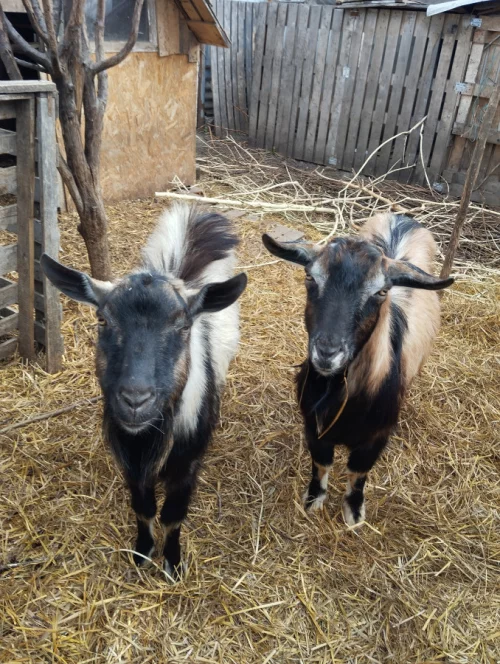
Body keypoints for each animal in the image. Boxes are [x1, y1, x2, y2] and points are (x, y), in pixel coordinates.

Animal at [41, 204, 247, 578]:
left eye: (183, 326)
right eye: (103, 320)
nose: (135, 400)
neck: (149, 439)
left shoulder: (188, 464)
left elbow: (173, 515)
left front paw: (172, 563)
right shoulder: (130, 462)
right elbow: (144, 508)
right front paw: (142, 552)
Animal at [262, 213, 453, 525]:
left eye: (382, 291)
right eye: (310, 277)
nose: (327, 352)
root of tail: (401, 218)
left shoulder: (376, 438)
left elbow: (358, 473)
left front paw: (353, 512)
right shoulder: (313, 425)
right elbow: (321, 463)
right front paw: (314, 499)